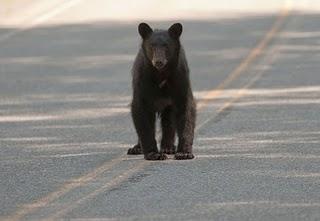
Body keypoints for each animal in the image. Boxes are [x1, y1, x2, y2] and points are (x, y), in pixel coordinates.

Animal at [127, 22, 195, 161]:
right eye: (152, 45)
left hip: (168, 105)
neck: (161, 74)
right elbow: (141, 113)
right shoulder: (143, 81)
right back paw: (136, 148)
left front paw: (184, 153)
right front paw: (153, 154)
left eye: (166, 45)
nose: (158, 61)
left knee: (168, 121)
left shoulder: (180, 79)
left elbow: (186, 110)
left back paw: (168, 147)